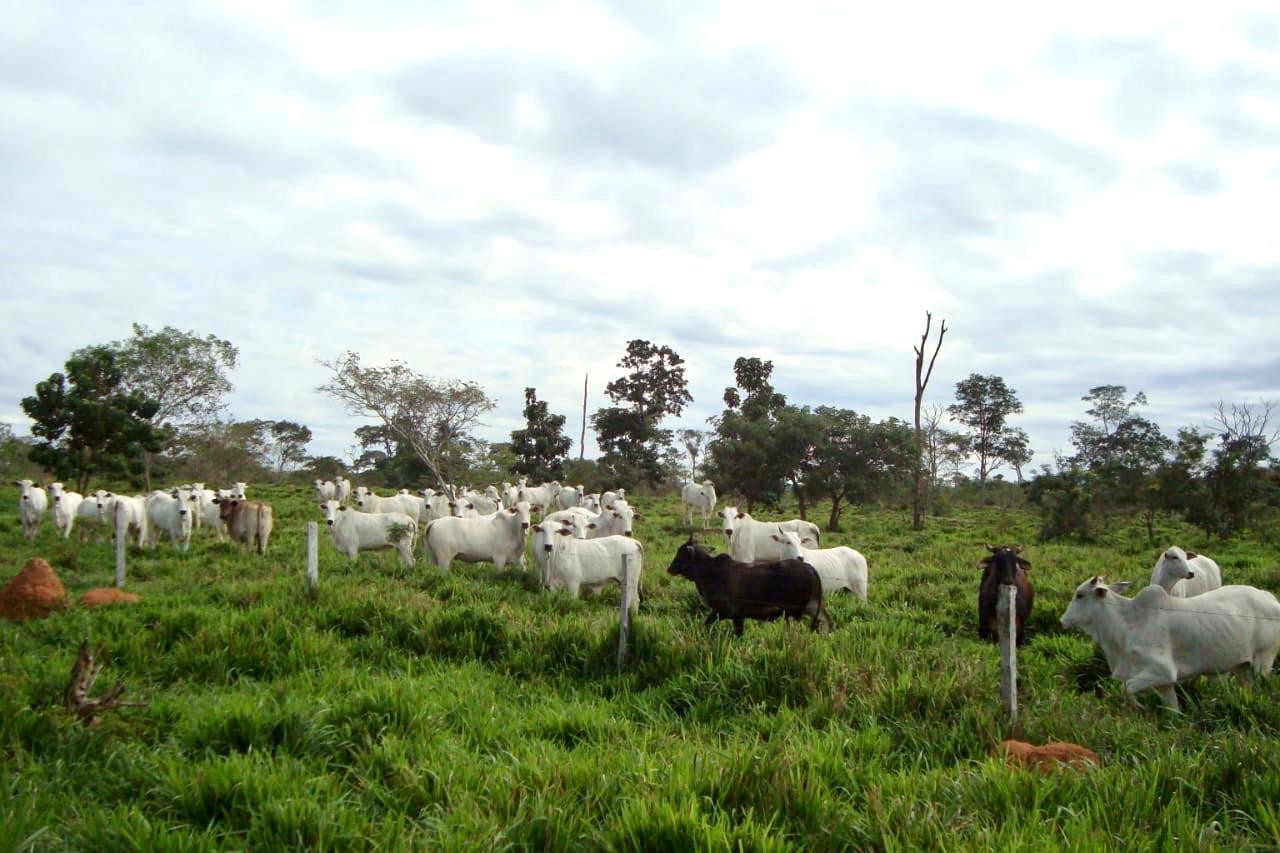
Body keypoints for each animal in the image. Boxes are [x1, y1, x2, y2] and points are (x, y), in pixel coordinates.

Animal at [665, 535, 834, 635]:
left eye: (681, 552)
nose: (670, 568)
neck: (709, 571)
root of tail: (808, 567)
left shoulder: (725, 612)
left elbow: (707, 625)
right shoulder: (735, 616)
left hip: (795, 611)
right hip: (812, 607)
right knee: (827, 623)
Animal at [1064, 573, 1280, 706]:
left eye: (1080, 595)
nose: (1062, 620)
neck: (1129, 623)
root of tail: (1270, 598)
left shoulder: (1162, 672)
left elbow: (1126, 688)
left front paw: (1138, 708)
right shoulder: (1164, 684)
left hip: (1263, 660)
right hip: (1242, 666)